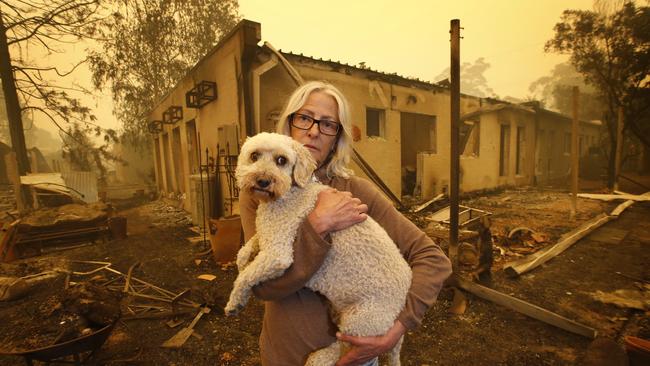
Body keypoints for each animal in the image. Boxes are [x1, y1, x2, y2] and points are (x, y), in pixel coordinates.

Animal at [224, 132, 410, 366]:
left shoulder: (278, 254)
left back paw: (319, 357)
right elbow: (247, 248)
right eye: (254, 156)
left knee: (347, 348)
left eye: (281, 160)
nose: (263, 181)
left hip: (361, 320)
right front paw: (243, 259)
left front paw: (235, 302)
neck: (290, 192)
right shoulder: (268, 234)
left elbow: (246, 276)